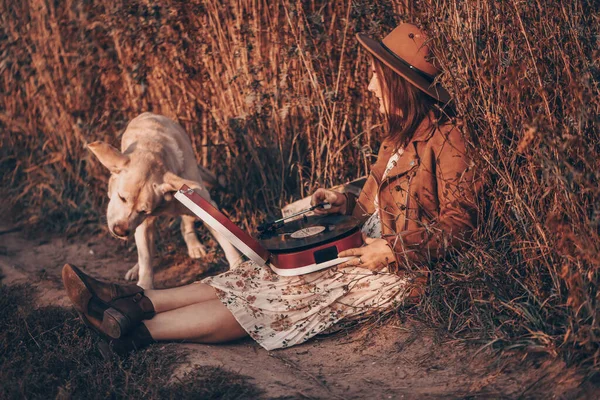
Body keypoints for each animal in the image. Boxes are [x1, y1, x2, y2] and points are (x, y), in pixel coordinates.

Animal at [87, 111, 241, 290]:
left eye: (143, 210)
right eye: (122, 197)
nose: (120, 231)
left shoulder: (205, 205)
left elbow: (227, 241)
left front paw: (238, 266)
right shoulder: (144, 224)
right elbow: (146, 258)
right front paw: (145, 286)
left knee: (185, 224)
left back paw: (194, 246)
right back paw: (135, 269)